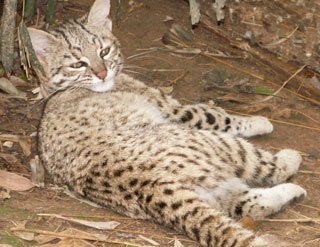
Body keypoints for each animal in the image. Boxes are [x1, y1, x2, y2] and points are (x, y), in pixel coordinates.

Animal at [29, 0, 304, 246]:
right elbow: (216, 115)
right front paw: (258, 122)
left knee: (249, 205)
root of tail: (151, 187)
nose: (102, 74)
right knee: (266, 170)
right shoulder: (175, 110)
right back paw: (291, 159)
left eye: (104, 51)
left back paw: (292, 194)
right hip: (210, 142)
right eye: (77, 64)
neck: (60, 87)